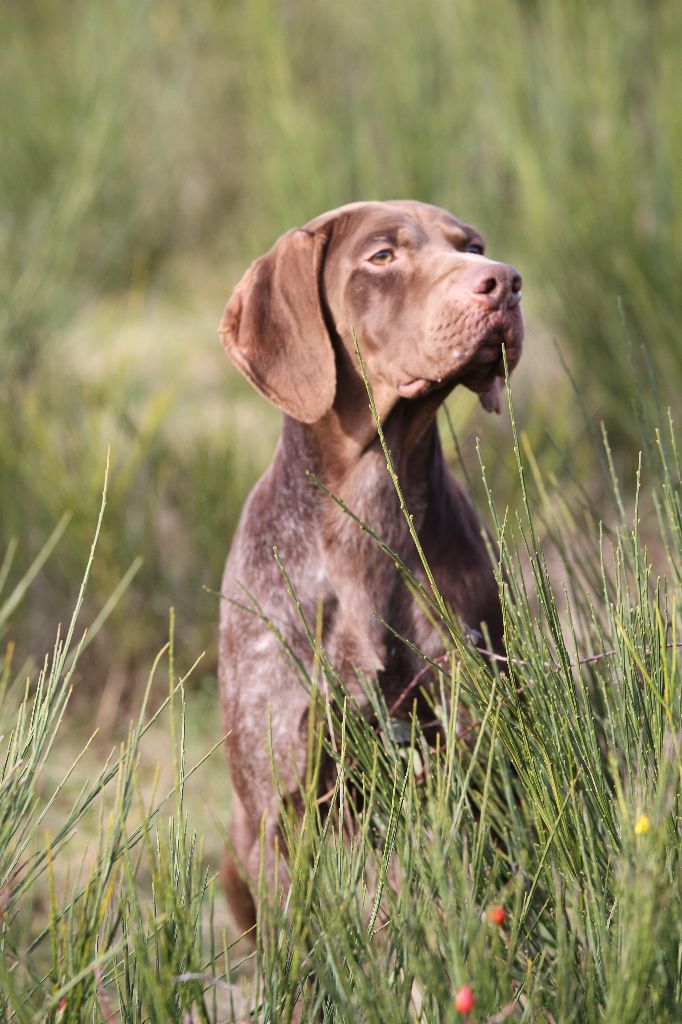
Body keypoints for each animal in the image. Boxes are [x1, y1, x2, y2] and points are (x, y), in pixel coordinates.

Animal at [216, 201, 520, 937]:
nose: (504, 282)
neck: (369, 514)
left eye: (473, 247)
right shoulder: (281, 806)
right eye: (382, 257)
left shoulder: (470, 753)